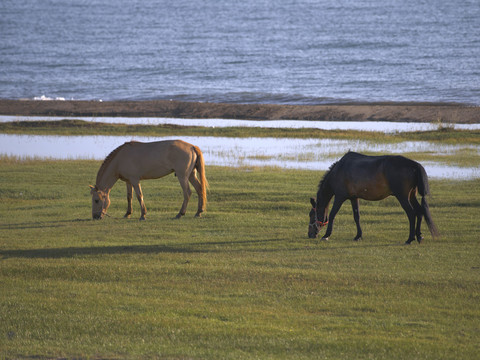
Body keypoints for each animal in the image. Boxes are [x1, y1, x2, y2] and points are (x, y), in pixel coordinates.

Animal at [308, 150, 438, 243]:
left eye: (311, 215)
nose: (310, 234)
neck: (338, 171)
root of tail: (414, 165)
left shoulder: (340, 197)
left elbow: (332, 214)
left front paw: (326, 235)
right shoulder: (354, 198)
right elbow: (357, 217)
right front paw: (358, 236)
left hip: (403, 197)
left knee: (411, 214)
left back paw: (410, 239)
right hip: (411, 196)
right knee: (419, 211)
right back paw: (419, 236)